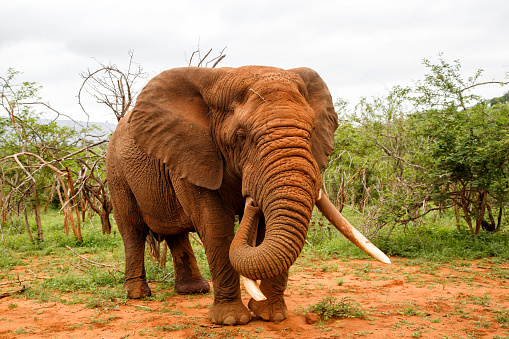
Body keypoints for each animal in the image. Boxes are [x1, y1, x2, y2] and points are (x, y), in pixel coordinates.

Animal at [105, 65, 386, 326]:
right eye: (241, 137)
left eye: (312, 128)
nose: (250, 200)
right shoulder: (194, 155)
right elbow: (216, 226)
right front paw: (231, 320)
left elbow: (264, 229)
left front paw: (271, 315)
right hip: (116, 171)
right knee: (132, 229)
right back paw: (138, 295)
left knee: (176, 234)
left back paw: (194, 290)